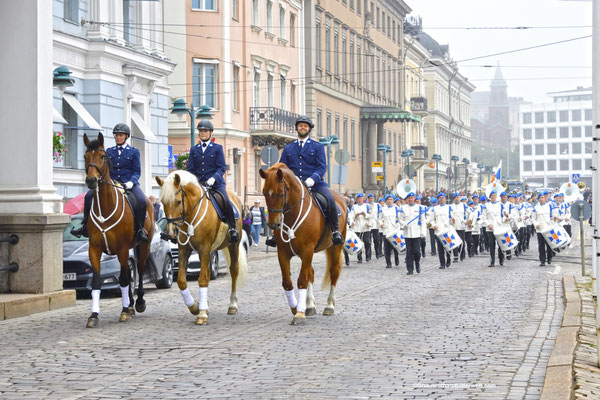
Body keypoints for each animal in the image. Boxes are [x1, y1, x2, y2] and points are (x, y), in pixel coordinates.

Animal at [81, 134, 155, 328]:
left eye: (102, 156)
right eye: (85, 156)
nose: (91, 181)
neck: (104, 207)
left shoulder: (121, 248)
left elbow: (123, 279)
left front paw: (124, 311)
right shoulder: (94, 249)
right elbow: (98, 282)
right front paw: (94, 315)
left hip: (142, 246)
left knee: (139, 270)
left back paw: (138, 303)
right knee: (129, 273)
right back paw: (130, 305)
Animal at [157, 170, 248, 324]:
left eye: (178, 201)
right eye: (163, 203)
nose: (171, 233)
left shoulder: (205, 249)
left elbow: (203, 279)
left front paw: (202, 314)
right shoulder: (184, 249)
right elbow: (181, 281)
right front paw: (195, 307)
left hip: (233, 245)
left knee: (234, 270)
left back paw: (232, 305)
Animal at [258, 162, 346, 324]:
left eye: (281, 193)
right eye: (264, 193)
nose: (273, 224)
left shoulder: (307, 251)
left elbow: (302, 280)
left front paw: (299, 313)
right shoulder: (283, 253)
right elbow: (287, 282)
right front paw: (295, 307)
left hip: (335, 246)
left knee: (334, 272)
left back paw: (329, 306)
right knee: (311, 273)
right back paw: (310, 305)